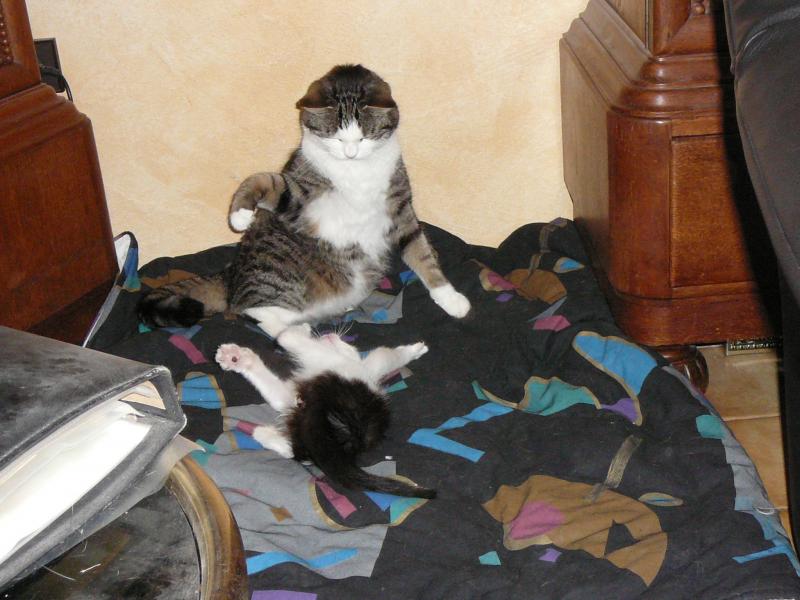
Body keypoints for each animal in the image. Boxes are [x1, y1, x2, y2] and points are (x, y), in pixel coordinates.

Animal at [139, 64, 470, 337]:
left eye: (363, 138)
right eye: (336, 138)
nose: (350, 152)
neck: (356, 171)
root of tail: (230, 275)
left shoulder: (399, 208)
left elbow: (421, 252)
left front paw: (450, 298)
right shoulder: (299, 197)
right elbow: (263, 180)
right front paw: (240, 215)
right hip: (276, 273)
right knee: (253, 310)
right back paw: (301, 336)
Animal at [215, 324, 436, 498]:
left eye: (349, 345)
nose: (333, 336)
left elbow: (288, 336)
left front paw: (415, 349)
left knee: (293, 446)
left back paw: (262, 431)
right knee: (291, 441)